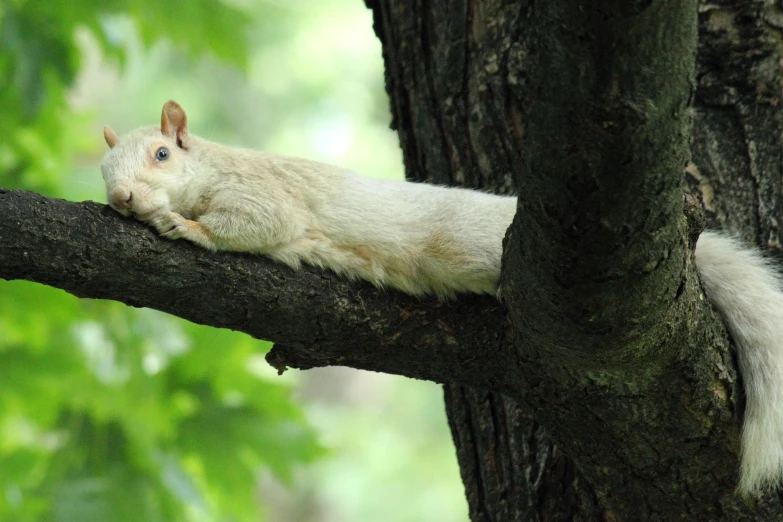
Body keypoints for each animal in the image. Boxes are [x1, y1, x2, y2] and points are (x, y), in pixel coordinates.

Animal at [104, 99, 783, 494]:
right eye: (104, 171)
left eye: (162, 153)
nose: (122, 199)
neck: (212, 166)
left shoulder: (264, 194)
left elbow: (255, 225)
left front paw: (187, 227)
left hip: (472, 246)